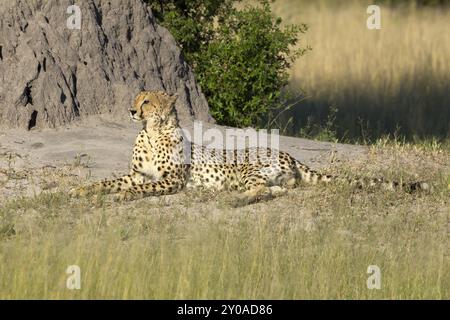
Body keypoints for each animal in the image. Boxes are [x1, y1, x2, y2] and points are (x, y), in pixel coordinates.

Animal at [68, 90, 430, 205]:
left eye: (146, 101)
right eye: (136, 98)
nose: (131, 111)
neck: (151, 132)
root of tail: (289, 153)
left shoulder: (169, 181)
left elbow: (141, 189)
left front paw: (123, 196)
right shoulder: (136, 174)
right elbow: (107, 181)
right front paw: (80, 189)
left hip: (247, 168)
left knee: (260, 189)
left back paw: (237, 198)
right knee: (277, 190)